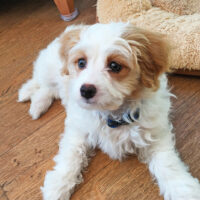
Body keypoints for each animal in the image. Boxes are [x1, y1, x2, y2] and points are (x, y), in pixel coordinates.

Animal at [18, 22, 200, 199]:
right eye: (81, 63)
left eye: (114, 66)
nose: (86, 90)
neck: (112, 114)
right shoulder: (78, 129)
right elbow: (70, 154)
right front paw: (57, 184)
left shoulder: (155, 134)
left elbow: (168, 163)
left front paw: (184, 190)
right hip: (49, 70)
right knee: (41, 82)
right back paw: (30, 97)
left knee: (49, 89)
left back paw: (36, 103)